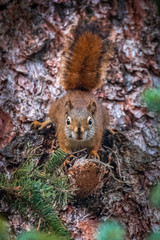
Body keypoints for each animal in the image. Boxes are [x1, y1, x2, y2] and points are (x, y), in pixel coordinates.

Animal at [31, 20, 114, 159]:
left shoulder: (97, 135)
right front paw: (66, 159)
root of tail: (80, 89)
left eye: (90, 121)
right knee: (50, 119)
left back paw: (112, 129)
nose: (79, 131)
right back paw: (40, 124)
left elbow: (95, 146)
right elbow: (64, 149)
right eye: (68, 121)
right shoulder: (62, 135)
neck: (79, 142)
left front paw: (94, 153)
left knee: (106, 124)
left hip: (105, 114)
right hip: (55, 108)